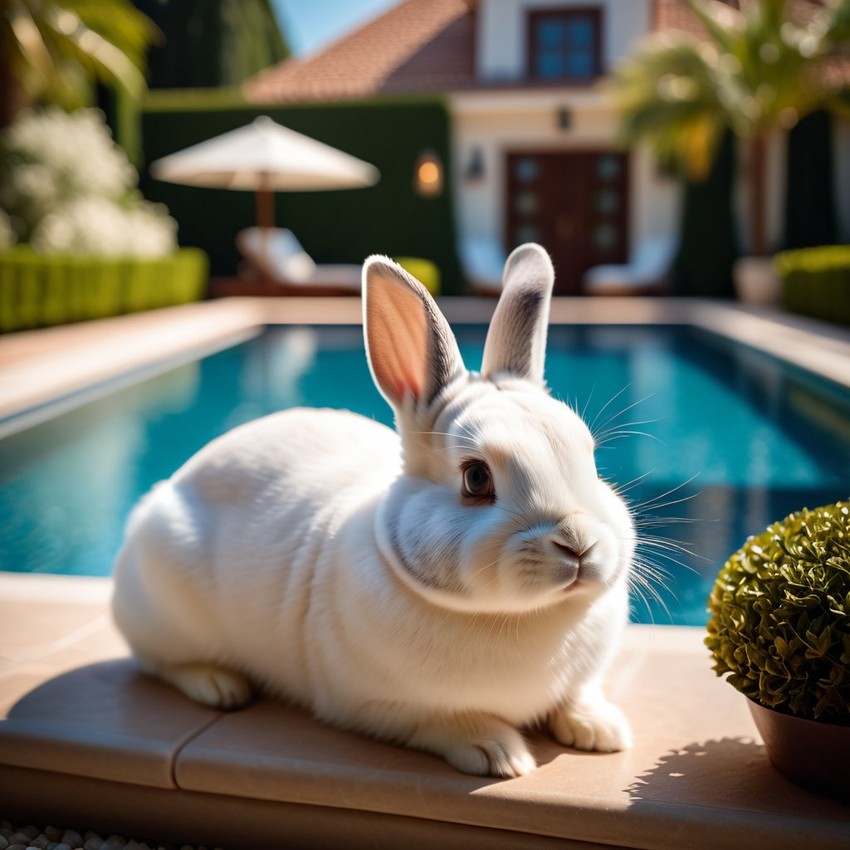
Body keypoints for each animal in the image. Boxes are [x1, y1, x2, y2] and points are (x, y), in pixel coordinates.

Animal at [111, 245, 628, 776]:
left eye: (590, 458)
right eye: (476, 478)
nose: (580, 544)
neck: (525, 616)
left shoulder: (581, 677)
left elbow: (577, 695)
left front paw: (603, 731)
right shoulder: (379, 707)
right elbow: (447, 721)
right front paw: (501, 755)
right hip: (163, 608)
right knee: (158, 662)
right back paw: (219, 686)